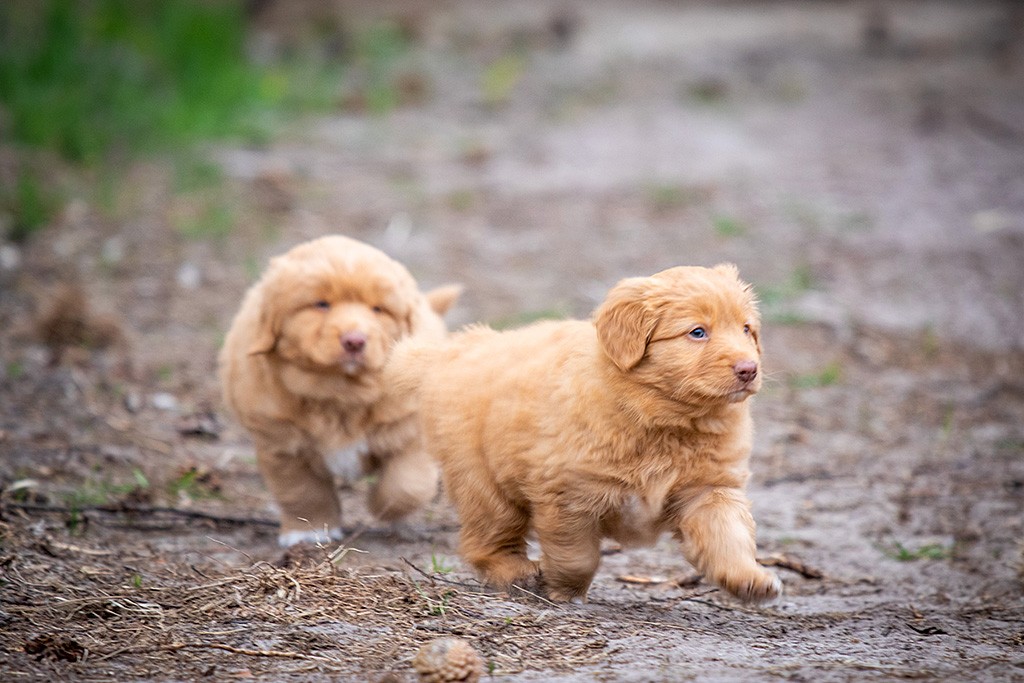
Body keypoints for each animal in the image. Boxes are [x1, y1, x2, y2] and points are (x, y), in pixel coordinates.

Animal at [220, 237, 460, 548]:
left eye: (377, 309)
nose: (354, 340)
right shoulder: (281, 445)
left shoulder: (410, 434)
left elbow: (407, 485)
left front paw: (384, 509)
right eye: (321, 304)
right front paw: (307, 531)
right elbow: (301, 492)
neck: (342, 392)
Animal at [380, 264, 778, 606]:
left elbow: (728, 537)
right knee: (485, 539)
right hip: (483, 481)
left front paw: (750, 579)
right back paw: (518, 573)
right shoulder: (570, 494)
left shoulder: (710, 490)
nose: (749, 368)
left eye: (746, 329)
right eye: (697, 332)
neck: (667, 420)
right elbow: (576, 555)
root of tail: (455, 351)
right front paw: (563, 589)